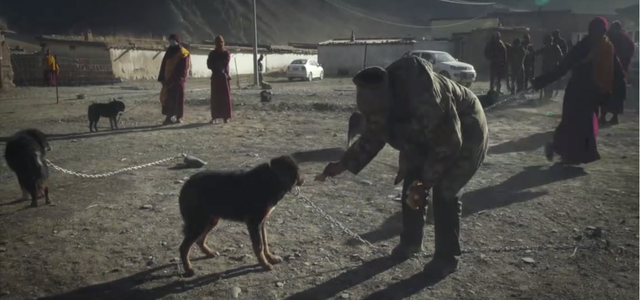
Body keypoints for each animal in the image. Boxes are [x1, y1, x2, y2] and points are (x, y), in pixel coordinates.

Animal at [176, 156, 304, 278]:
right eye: (297, 171)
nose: (303, 180)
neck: (271, 178)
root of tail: (186, 184)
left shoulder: (262, 222)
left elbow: (265, 242)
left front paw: (271, 258)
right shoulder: (254, 223)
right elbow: (259, 246)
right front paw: (264, 264)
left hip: (211, 220)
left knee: (200, 240)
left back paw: (209, 253)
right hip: (198, 223)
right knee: (184, 247)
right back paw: (189, 269)